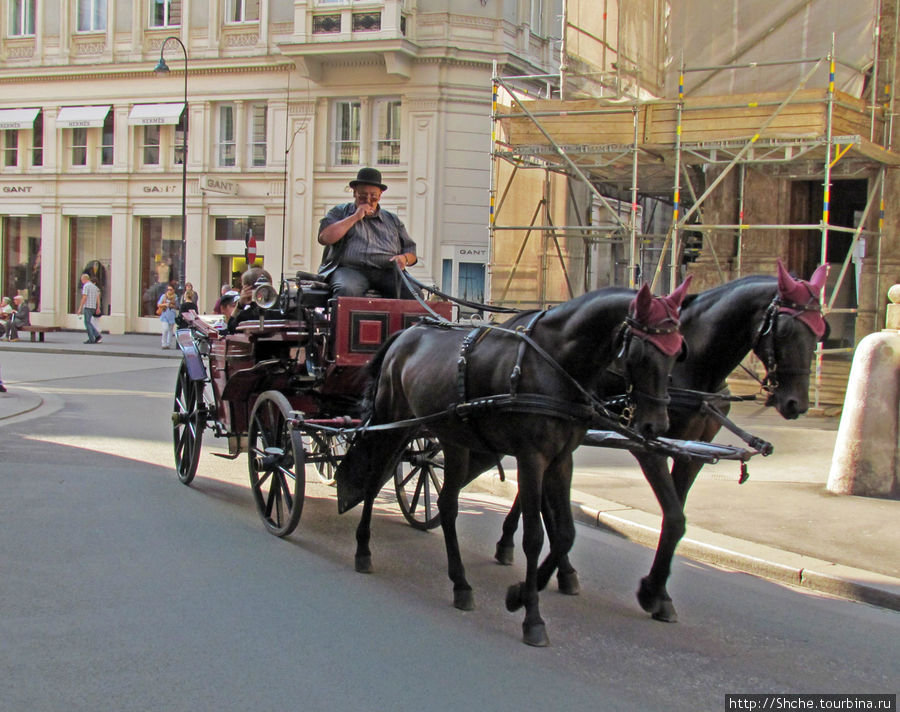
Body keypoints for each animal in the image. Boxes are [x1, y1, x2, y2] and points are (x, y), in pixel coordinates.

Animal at [336, 282, 688, 644]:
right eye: (640, 354)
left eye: (678, 351)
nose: (656, 426)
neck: (554, 364)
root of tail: (406, 333)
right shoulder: (532, 457)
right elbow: (533, 536)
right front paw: (532, 616)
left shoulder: (561, 459)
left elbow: (566, 533)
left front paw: (520, 593)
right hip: (393, 420)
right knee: (373, 479)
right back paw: (363, 550)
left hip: (452, 438)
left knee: (446, 505)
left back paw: (461, 584)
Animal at [496, 262, 828, 624]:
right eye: (784, 332)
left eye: (819, 333)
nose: (796, 404)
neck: (697, 366)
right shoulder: (649, 444)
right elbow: (674, 515)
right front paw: (652, 591)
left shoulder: (691, 450)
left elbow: (676, 517)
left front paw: (659, 592)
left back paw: (531, 553)